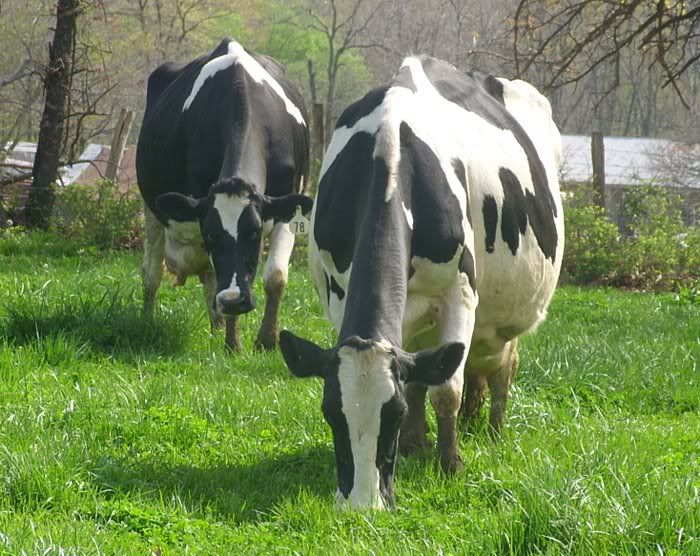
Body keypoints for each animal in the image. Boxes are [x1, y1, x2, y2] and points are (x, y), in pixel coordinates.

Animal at [136, 38, 313, 351]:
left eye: (255, 231)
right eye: (212, 233)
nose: (232, 300)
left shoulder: (288, 209)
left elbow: (276, 277)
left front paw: (266, 340)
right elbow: (219, 272)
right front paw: (234, 344)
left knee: (206, 277)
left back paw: (216, 326)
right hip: (151, 209)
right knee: (152, 272)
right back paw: (149, 318)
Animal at [278, 55, 563, 510]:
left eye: (390, 416)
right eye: (330, 412)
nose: (362, 505)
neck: (391, 158)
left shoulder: (459, 294)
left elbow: (446, 388)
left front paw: (451, 464)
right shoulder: (341, 296)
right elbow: (417, 378)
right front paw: (417, 446)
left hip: (509, 312)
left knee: (503, 366)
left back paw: (494, 430)